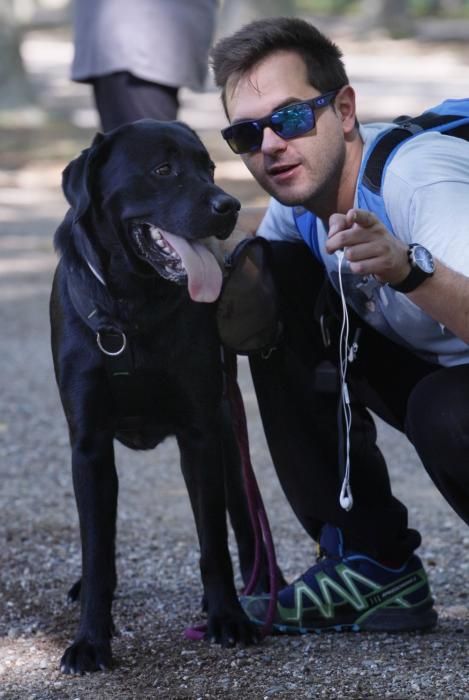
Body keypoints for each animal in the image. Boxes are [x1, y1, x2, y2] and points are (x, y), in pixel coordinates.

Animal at [51, 119, 264, 672]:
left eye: (208, 167)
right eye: (163, 169)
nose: (229, 205)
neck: (133, 306)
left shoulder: (200, 434)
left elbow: (213, 541)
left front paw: (227, 617)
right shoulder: (88, 446)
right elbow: (98, 550)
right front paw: (90, 640)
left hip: (228, 433)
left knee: (243, 523)